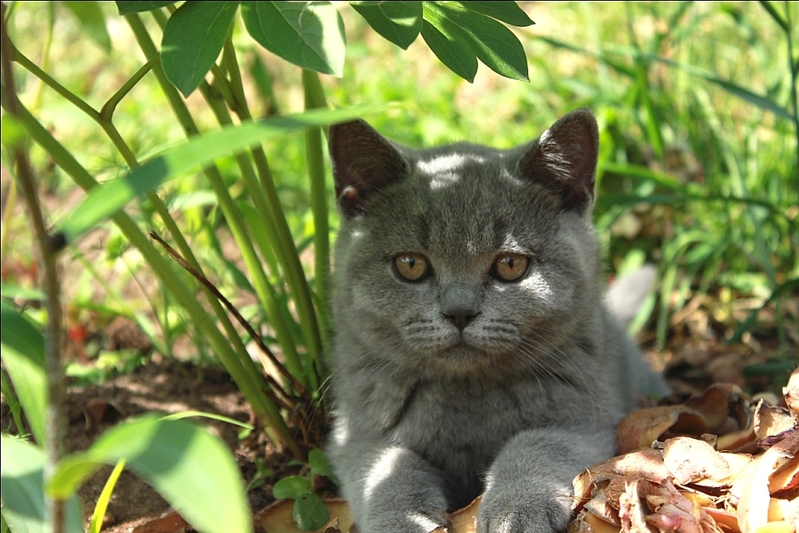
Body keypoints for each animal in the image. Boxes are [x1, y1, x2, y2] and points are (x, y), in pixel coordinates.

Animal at [324, 109, 668, 532]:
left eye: (510, 265)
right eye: (410, 264)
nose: (459, 311)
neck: (467, 397)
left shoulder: (584, 417)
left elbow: (536, 443)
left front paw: (515, 510)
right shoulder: (358, 434)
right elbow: (387, 468)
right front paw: (402, 522)